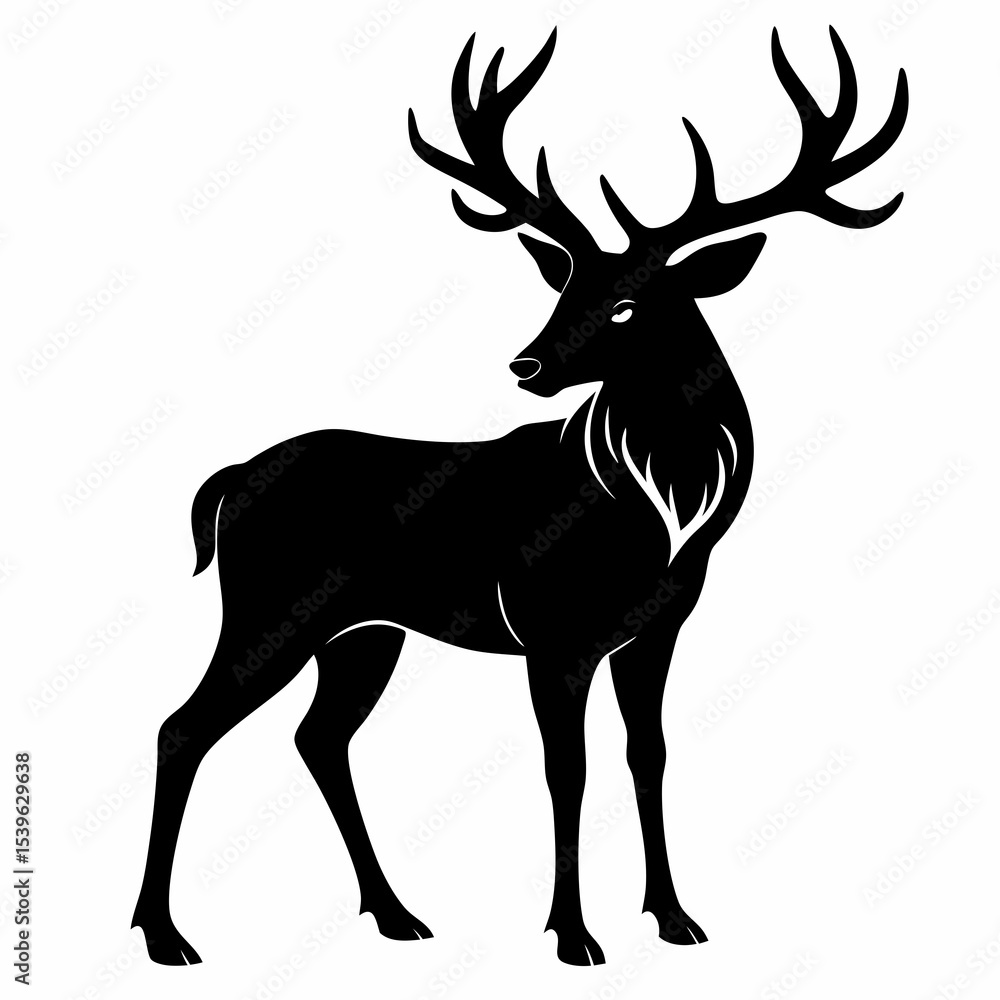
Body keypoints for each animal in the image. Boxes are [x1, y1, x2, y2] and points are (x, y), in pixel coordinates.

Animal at [132, 26, 907, 967]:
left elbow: (647, 754)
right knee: (184, 726)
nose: (526, 363)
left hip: (365, 632)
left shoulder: (657, 629)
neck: (662, 516)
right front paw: (573, 934)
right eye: (563, 285)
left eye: (627, 302)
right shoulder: (552, 632)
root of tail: (228, 481)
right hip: (267, 607)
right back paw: (163, 934)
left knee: (318, 737)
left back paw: (396, 913)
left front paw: (674, 917)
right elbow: (564, 769)